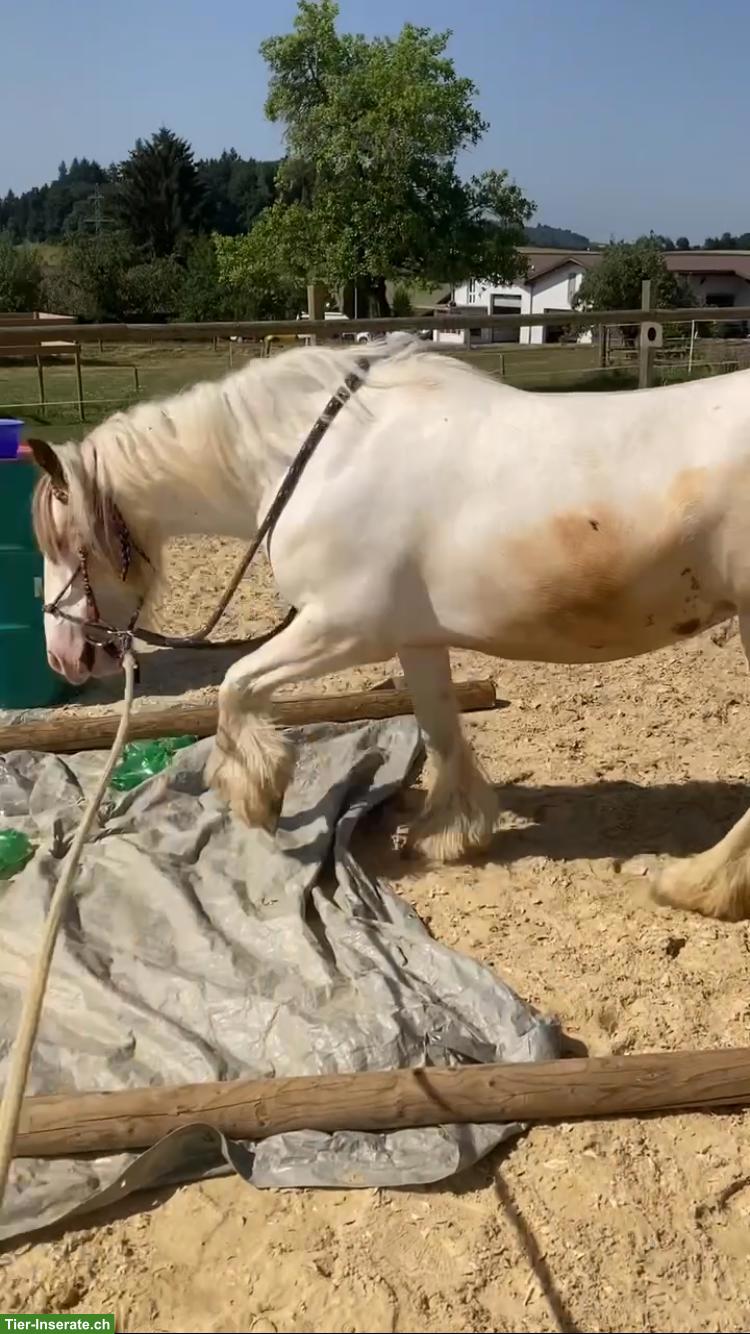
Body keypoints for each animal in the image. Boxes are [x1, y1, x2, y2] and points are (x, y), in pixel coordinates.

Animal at [27, 335, 750, 922]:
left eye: (65, 545)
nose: (63, 658)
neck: (321, 458)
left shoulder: (343, 628)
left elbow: (235, 686)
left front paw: (256, 795)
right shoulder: (415, 639)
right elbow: (439, 729)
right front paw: (449, 833)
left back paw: (698, 884)